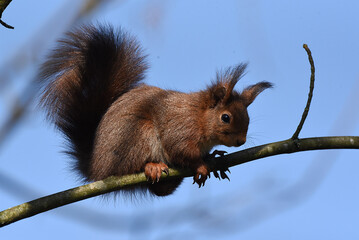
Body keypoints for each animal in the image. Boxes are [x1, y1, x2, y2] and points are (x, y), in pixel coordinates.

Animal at [38, 23, 272, 197]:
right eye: (225, 117)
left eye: (248, 118)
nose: (241, 141)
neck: (198, 116)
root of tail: (97, 169)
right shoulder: (180, 128)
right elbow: (181, 150)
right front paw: (201, 164)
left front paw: (213, 157)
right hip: (138, 136)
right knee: (130, 169)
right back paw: (152, 166)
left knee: (160, 191)